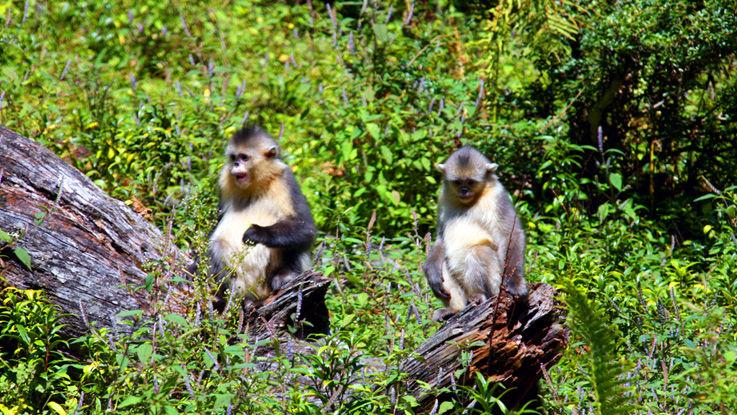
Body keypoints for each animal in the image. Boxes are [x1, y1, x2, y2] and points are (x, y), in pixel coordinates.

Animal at [206, 125, 314, 310]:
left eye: (244, 157)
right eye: (234, 158)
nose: (236, 164)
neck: (255, 187)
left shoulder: (284, 179)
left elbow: (305, 227)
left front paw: (257, 233)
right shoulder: (224, 180)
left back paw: (284, 276)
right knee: (217, 243)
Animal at [422, 145, 528, 322]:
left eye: (470, 182)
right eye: (458, 182)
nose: (464, 191)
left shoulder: (497, 197)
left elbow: (510, 234)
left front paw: (515, 282)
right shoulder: (444, 197)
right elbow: (440, 238)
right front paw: (431, 270)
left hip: (496, 283)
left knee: (478, 251)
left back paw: (479, 295)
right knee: (444, 262)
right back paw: (455, 309)